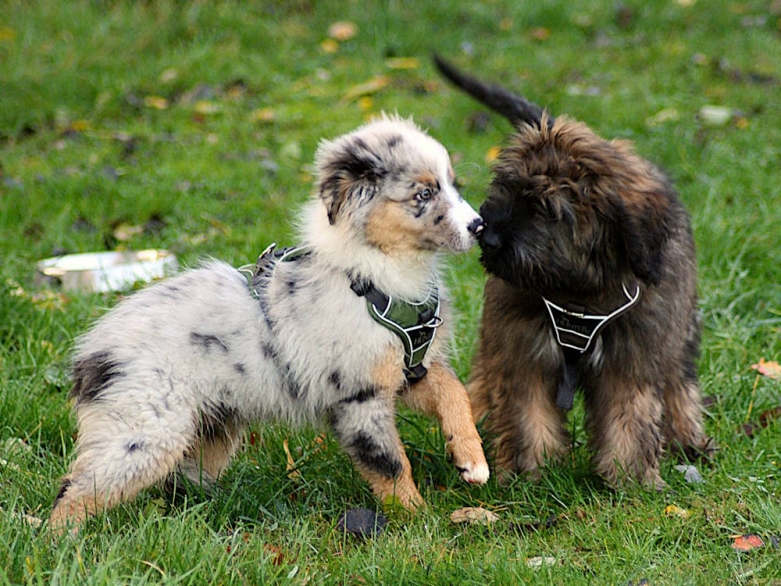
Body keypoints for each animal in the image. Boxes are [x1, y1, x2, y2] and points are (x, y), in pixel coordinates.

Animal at [48, 116, 488, 532]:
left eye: (452, 184)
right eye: (424, 194)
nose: (480, 226)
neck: (374, 275)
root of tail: (92, 355)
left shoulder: (409, 370)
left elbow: (454, 391)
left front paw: (471, 457)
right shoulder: (359, 396)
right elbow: (390, 464)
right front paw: (418, 520)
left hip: (210, 427)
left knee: (178, 484)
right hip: (146, 431)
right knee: (78, 488)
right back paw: (59, 541)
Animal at [436, 58, 716, 488]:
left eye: (547, 209)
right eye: (506, 187)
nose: (490, 237)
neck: (578, 292)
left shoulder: (631, 357)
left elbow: (629, 418)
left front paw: (629, 479)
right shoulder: (524, 348)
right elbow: (528, 414)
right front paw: (531, 473)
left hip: (678, 330)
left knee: (678, 382)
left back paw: (689, 440)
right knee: (485, 370)